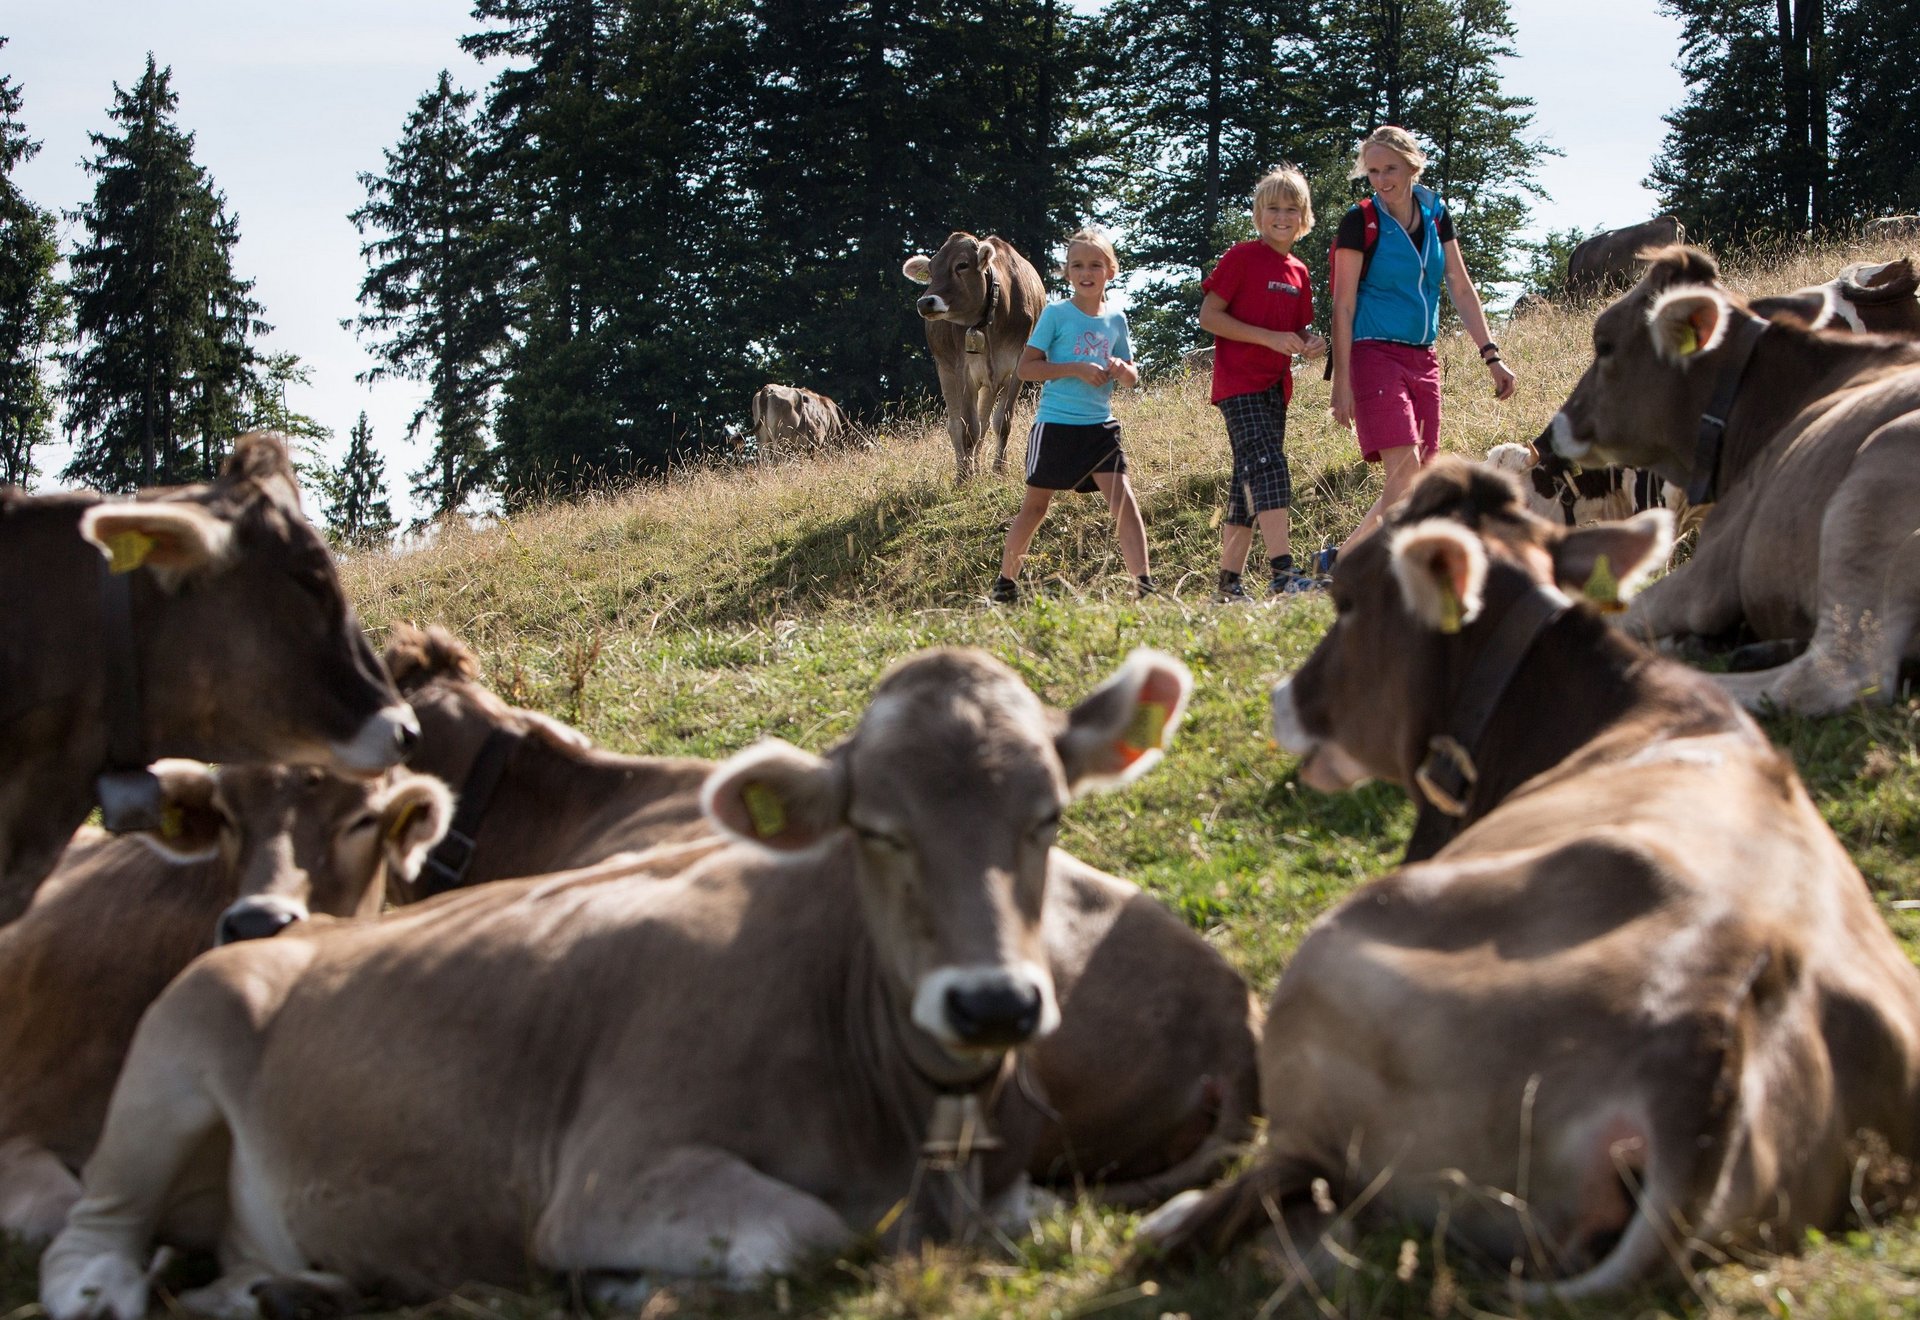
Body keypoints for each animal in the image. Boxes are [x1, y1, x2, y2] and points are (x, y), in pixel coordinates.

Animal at [902, 231, 1044, 479]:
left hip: (991, 382)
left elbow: (1002, 422)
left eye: (962, 265)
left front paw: (999, 470)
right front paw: (965, 478)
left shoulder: (1017, 366)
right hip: (945, 369)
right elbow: (967, 428)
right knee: (956, 426)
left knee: (984, 422)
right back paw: (965, 470)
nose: (925, 302)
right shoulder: (964, 370)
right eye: (932, 270)